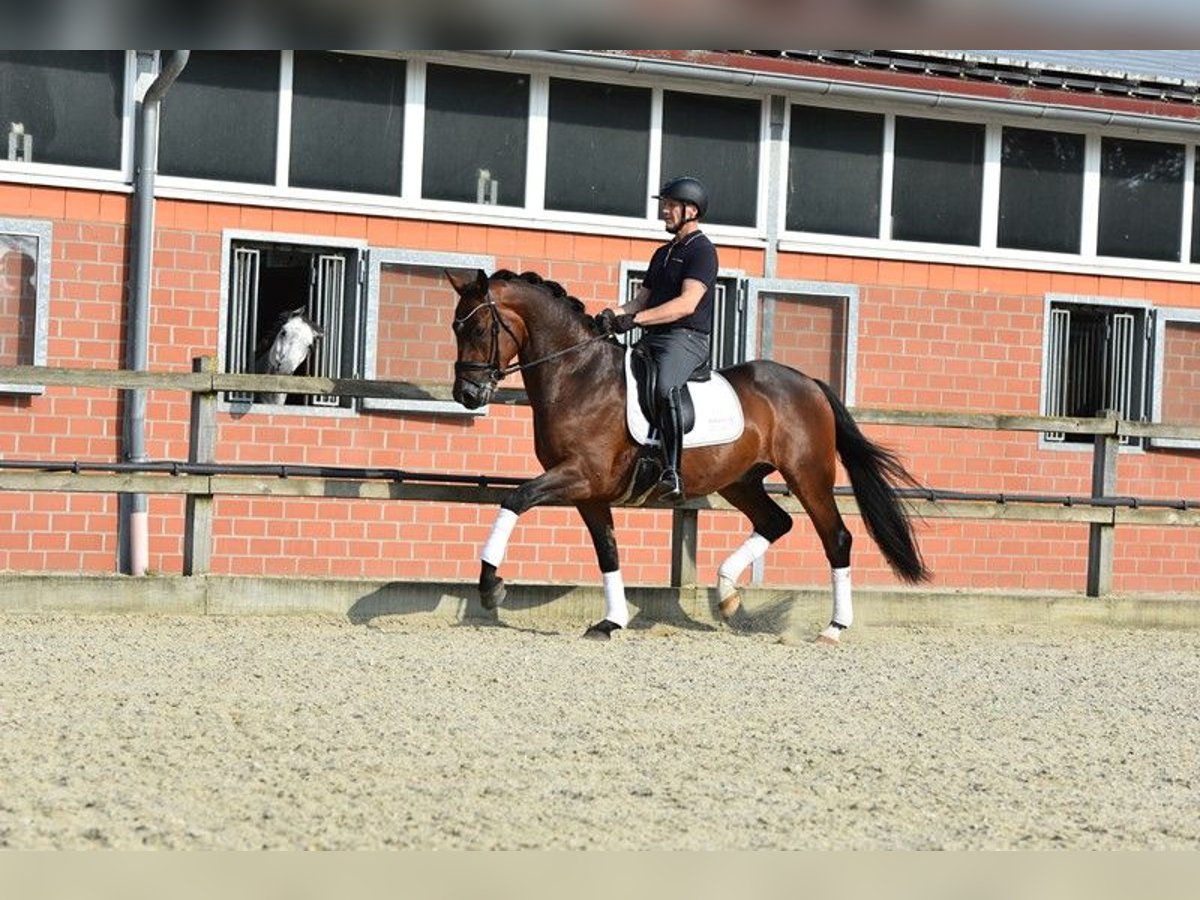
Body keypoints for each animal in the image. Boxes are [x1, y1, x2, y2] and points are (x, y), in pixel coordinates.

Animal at [448, 264, 926, 643]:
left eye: (479, 329)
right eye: (456, 329)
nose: (467, 395)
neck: (578, 376)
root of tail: (809, 383)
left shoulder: (580, 475)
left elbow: (515, 499)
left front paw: (491, 586)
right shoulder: (590, 494)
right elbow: (608, 552)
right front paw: (611, 622)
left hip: (808, 476)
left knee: (836, 538)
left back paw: (833, 628)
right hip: (741, 480)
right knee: (776, 522)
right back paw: (728, 597)